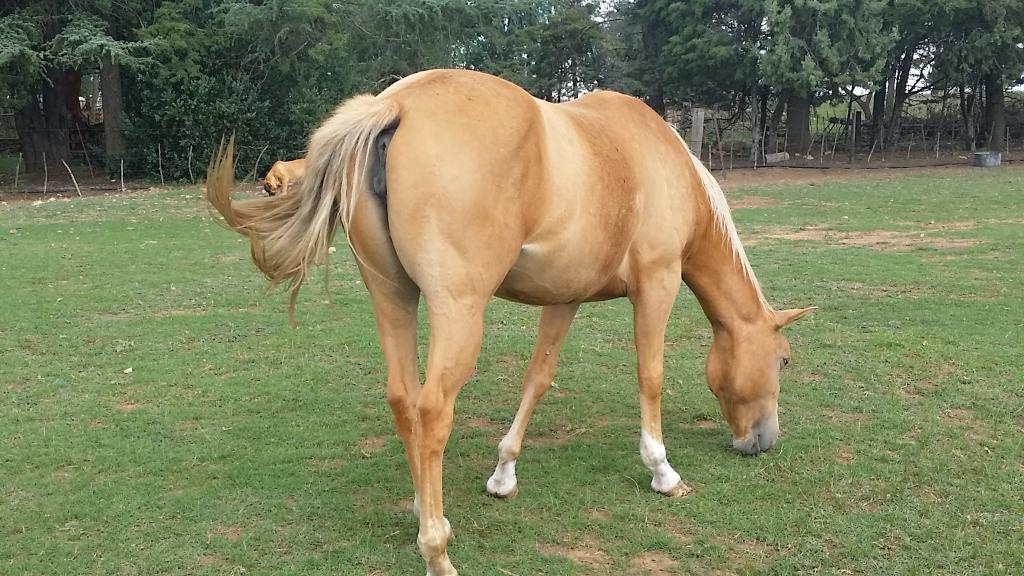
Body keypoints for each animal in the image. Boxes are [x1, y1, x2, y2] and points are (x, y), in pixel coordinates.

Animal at [205, 69, 814, 576]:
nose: (763, 442)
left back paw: (428, 515)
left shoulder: (564, 299)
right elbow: (651, 376)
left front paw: (503, 474)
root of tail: (395, 105)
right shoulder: (658, 283)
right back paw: (436, 549)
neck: (657, 161)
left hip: (392, 297)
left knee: (403, 399)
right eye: (783, 360)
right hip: (458, 311)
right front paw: (663, 472)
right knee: (432, 411)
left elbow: (537, 379)